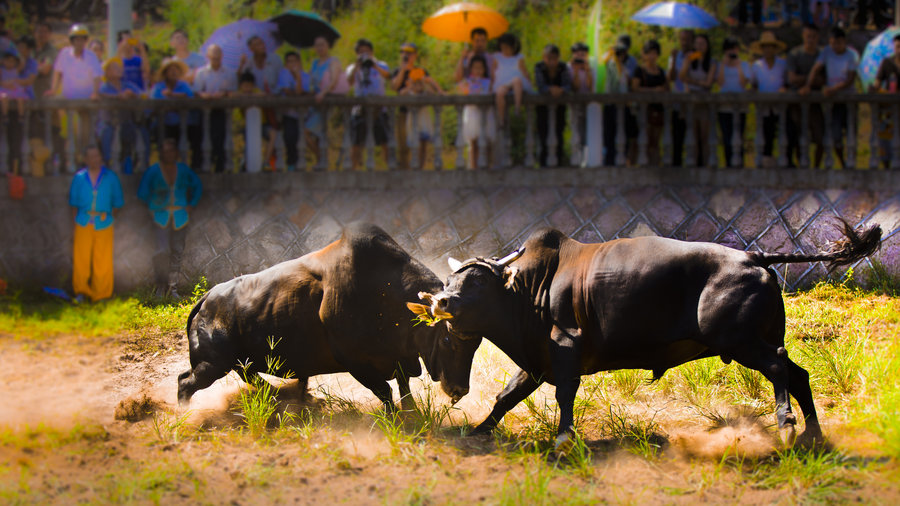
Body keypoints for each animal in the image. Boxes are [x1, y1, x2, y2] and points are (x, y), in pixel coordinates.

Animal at [178, 223, 482, 410]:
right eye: (447, 340)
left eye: (476, 344)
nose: (460, 389)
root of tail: (207, 298)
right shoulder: (356, 362)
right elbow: (385, 391)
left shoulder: (399, 358)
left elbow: (403, 388)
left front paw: (412, 414)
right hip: (211, 365)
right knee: (185, 382)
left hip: (236, 364)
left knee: (254, 381)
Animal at [414, 221, 880, 446]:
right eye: (452, 278)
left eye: (477, 281)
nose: (441, 301)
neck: (532, 289)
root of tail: (753, 256)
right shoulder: (537, 361)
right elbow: (506, 397)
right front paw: (478, 430)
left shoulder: (565, 350)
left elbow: (564, 396)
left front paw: (564, 438)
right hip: (759, 339)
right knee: (799, 374)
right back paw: (813, 435)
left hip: (743, 342)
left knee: (780, 369)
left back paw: (786, 425)